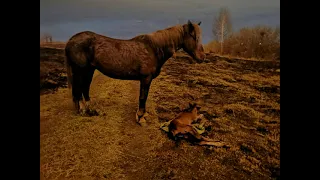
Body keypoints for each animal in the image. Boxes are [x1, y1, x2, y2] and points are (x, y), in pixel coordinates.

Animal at [64, 19, 205, 124]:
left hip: (89, 70)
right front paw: (140, 117)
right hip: (80, 71)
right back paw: (83, 111)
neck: (153, 48)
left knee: (84, 88)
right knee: (78, 90)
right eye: (194, 36)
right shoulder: (146, 78)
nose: (202, 57)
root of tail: (71, 40)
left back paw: (91, 110)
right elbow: (143, 97)